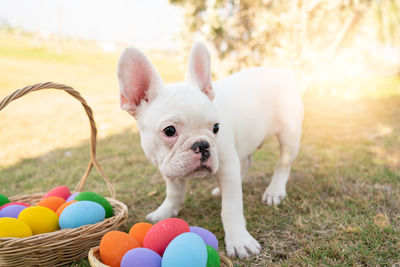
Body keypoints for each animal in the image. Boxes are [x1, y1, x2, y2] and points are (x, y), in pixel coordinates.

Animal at [118, 42, 304, 260]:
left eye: (216, 127)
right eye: (169, 130)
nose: (202, 144)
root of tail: (278, 72)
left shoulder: (227, 164)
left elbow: (231, 208)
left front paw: (239, 241)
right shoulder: (169, 168)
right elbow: (174, 193)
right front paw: (165, 211)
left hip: (289, 135)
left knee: (283, 163)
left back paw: (275, 191)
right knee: (246, 162)